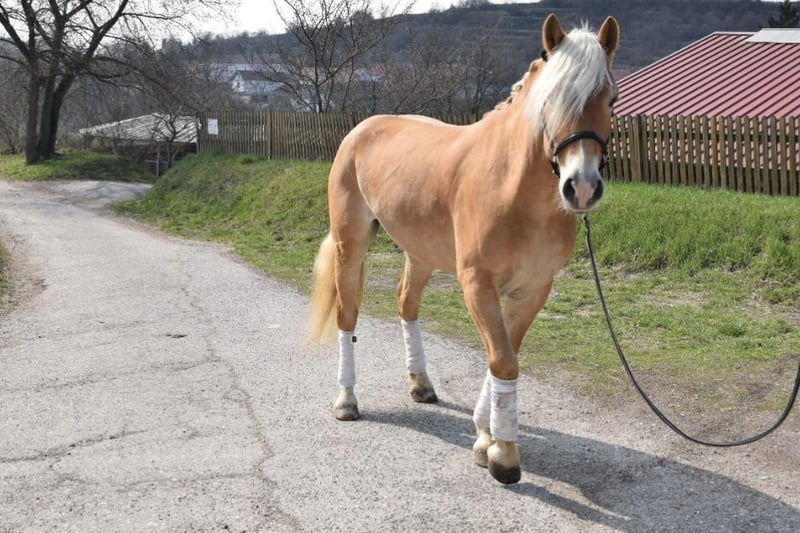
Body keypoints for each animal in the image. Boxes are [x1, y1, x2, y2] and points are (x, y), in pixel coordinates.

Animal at [308, 13, 620, 485]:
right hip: (351, 243)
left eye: (611, 99)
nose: (581, 188)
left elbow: (505, 355)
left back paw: (421, 385)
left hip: (419, 253)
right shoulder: (477, 284)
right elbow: (504, 360)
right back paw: (346, 401)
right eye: (551, 100)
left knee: (407, 303)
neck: (514, 188)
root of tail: (362, 129)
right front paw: (503, 455)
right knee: (348, 314)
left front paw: (485, 435)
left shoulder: (534, 288)